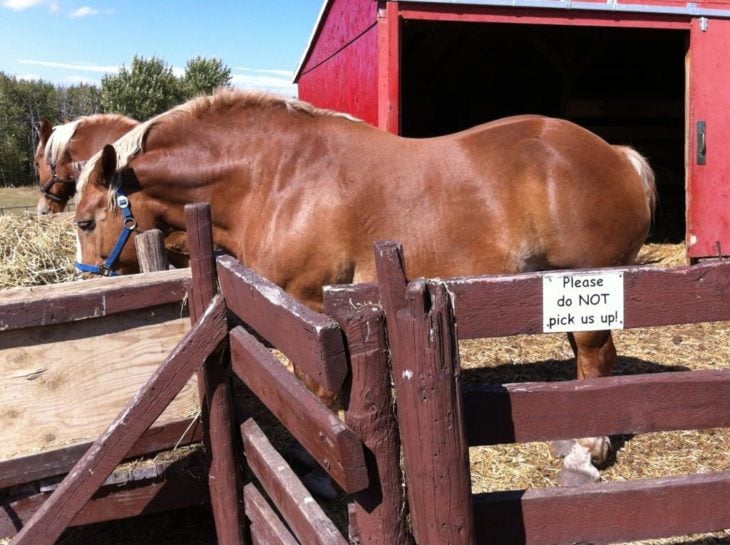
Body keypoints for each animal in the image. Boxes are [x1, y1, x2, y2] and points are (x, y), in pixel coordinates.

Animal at [74, 88, 656, 480]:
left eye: (84, 222)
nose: (87, 283)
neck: (275, 176)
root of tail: (617, 155)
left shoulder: (309, 308)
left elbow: (321, 395)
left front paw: (325, 468)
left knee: (597, 357)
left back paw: (587, 447)